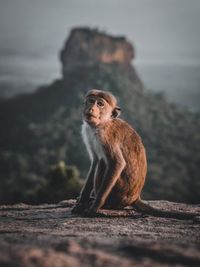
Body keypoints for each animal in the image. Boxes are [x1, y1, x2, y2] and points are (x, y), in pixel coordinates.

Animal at [71, 89, 198, 221]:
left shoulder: (105, 136)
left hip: (118, 194)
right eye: (91, 101)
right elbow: (95, 160)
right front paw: (82, 199)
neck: (100, 124)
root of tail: (135, 197)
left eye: (100, 104)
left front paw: (95, 206)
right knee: (100, 161)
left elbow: (117, 163)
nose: (91, 108)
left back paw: (102, 204)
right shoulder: (87, 132)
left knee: (103, 163)